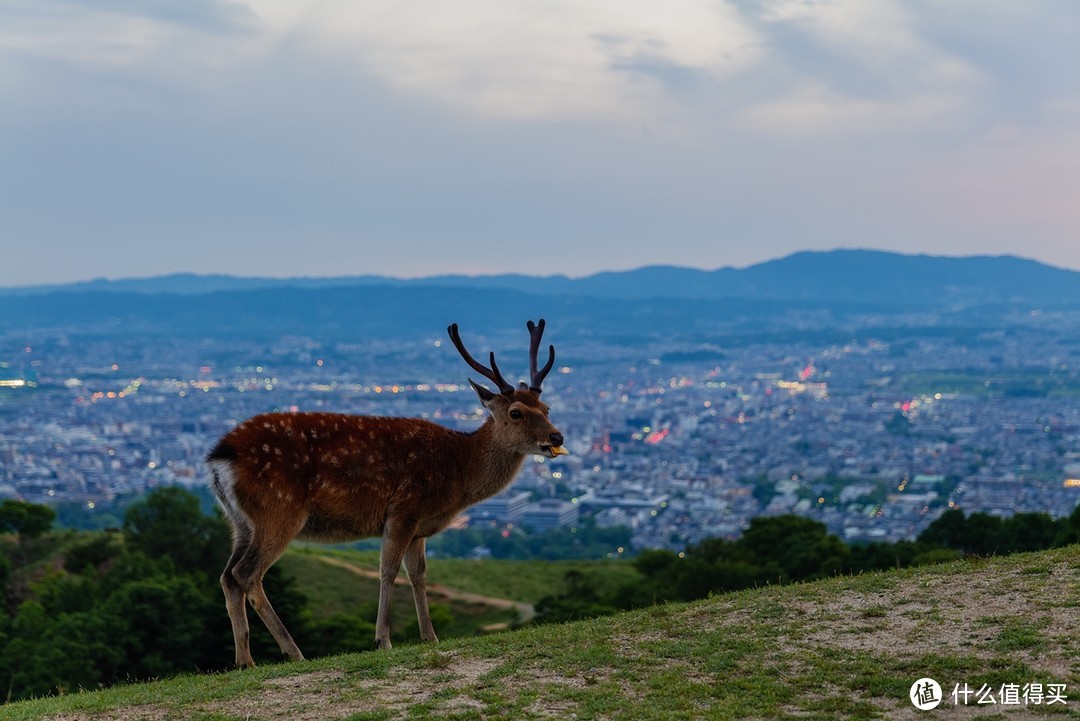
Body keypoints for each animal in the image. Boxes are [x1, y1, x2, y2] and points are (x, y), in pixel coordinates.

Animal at [205, 317, 570, 669]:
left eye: (547, 407)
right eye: (515, 412)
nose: (557, 437)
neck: (456, 473)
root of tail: (218, 457)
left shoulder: (419, 526)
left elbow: (418, 574)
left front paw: (430, 637)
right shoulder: (404, 508)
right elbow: (389, 570)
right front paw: (383, 640)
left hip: (241, 523)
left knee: (227, 576)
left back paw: (245, 660)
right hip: (279, 512)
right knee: (246, 573)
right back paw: (293, 652)